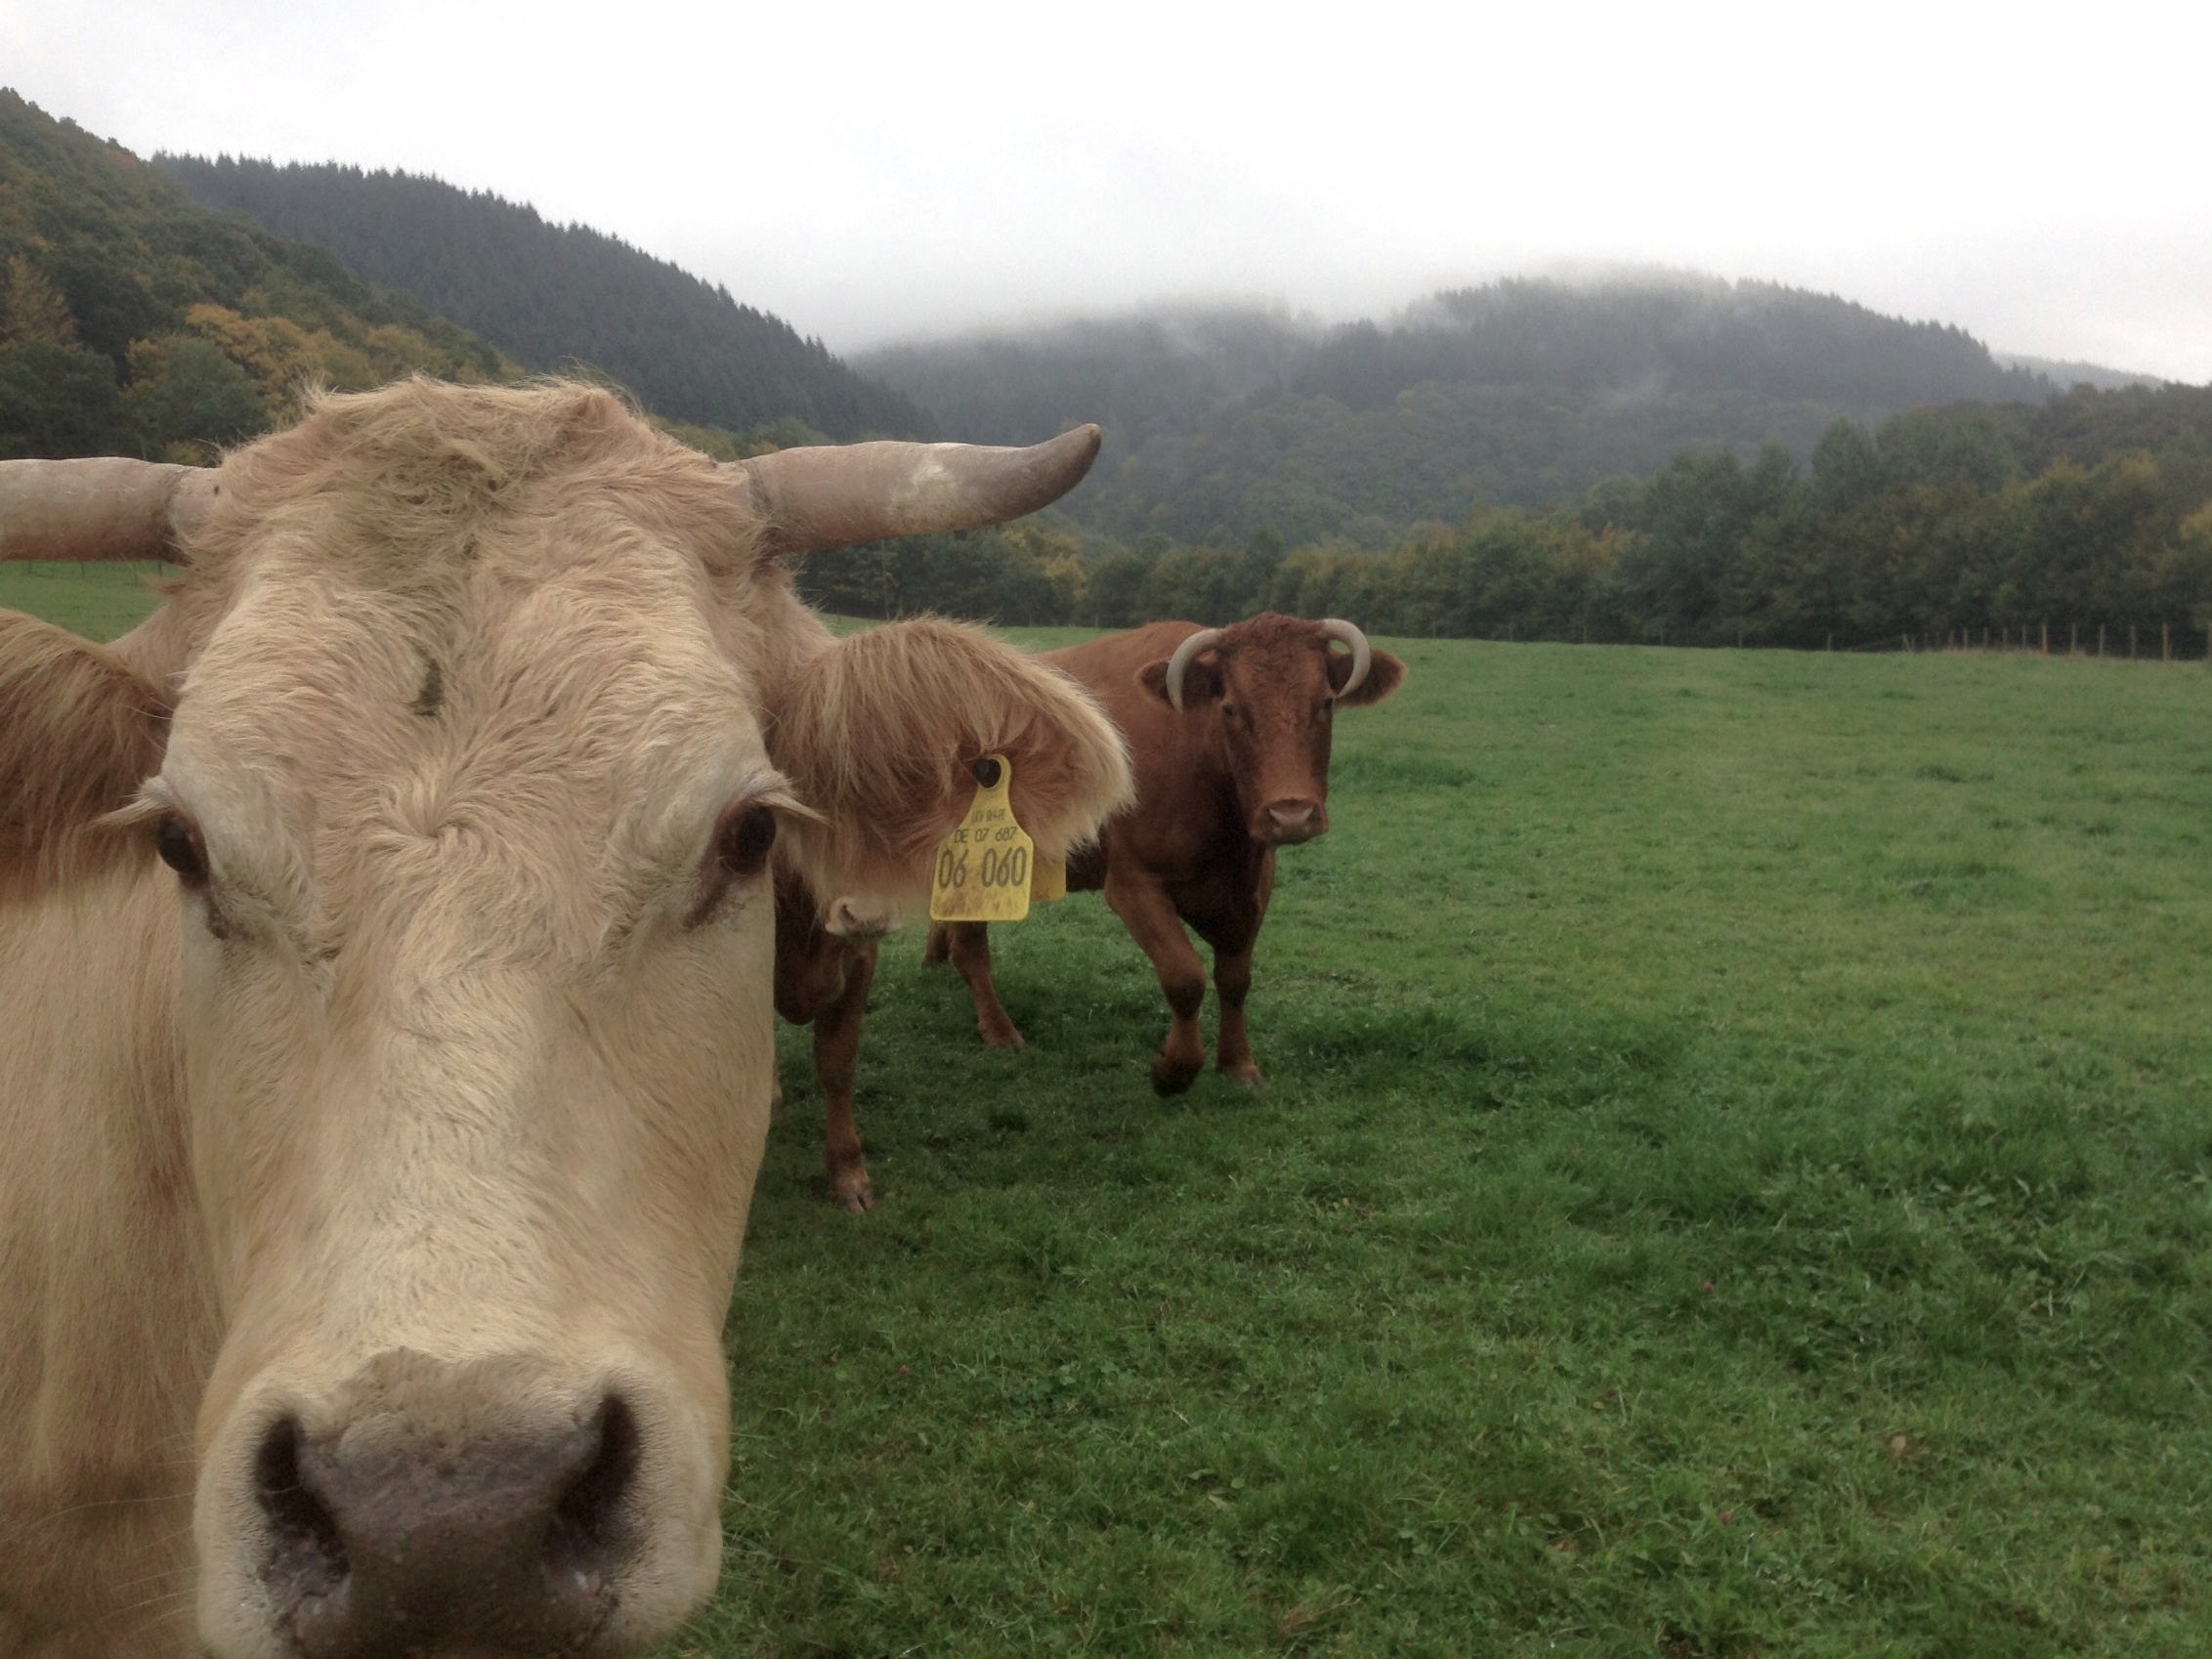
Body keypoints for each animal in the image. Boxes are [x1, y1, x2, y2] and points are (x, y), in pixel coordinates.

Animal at [925, 613, 1404, 1094]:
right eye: (1230, 708)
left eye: (1325, 703)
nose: (1291, 814)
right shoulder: (1132, 882)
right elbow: (1184, 976)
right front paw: (1174, 1070)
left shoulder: (1253, 887)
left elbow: (1235, 979)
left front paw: (1238, 1063)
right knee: (972, 948)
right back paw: (999, 1029)